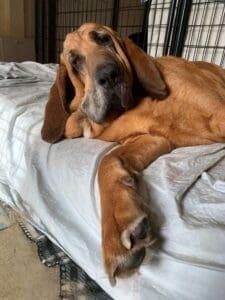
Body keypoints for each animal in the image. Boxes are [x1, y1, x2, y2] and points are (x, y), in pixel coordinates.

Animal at [41, 22, 225, 286]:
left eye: (104, 39)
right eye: (74, 60)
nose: (109, 75)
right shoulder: (153, 139)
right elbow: (107, 161)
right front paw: (118, 231)